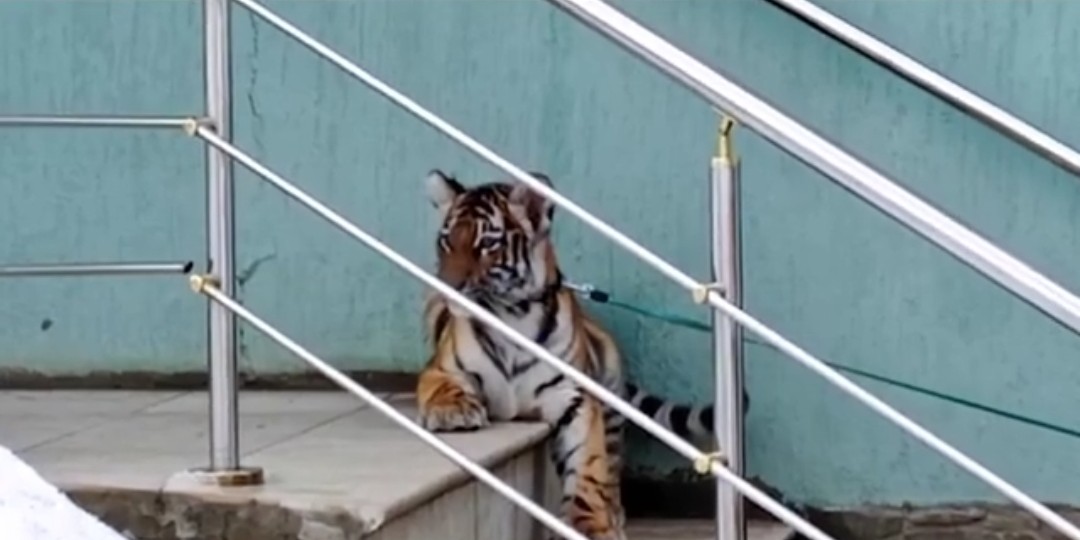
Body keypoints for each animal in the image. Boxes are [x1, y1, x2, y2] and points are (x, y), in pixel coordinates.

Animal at [416, 169, 743, 540]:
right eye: (446, 241)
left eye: (487, 244)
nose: (445, 285)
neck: (511, 317)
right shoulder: (441, 369)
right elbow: (445, 387)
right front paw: (452, 412)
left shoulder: (575, 397)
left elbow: (589, 466)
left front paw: (592, 526)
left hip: (611, 395)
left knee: (612, 469)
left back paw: (615, 515)